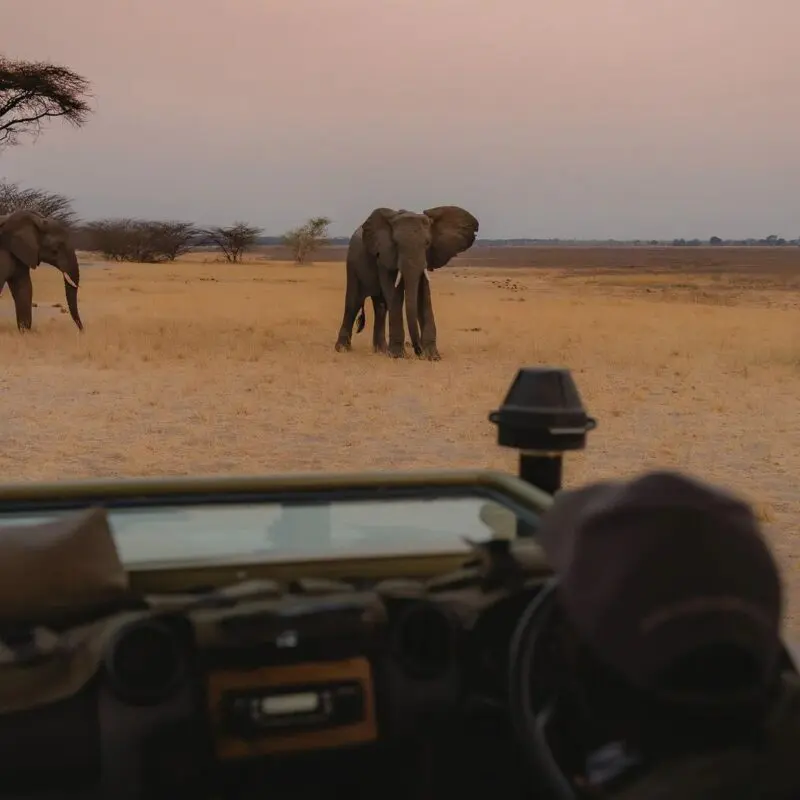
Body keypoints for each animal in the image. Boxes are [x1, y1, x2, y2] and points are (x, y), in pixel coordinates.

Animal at [334, 206, 478, 360]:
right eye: (396, 244)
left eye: (427, 243)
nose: (418, 350)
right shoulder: (384, 255)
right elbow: (393, 293)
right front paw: (397, 355)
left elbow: (423, 295)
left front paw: (432, 357)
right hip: (352, 263)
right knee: (354, 303)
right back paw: (342, 349)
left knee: (380, 307)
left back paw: (381, 350)